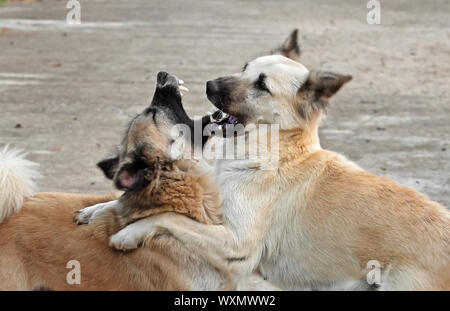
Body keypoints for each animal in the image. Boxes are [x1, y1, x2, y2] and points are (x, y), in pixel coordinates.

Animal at [96, 53, 450, 290]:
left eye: (262, 85)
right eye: (245, 68)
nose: (209, 84)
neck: (274, 151)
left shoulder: (236, 244)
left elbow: (169, 216)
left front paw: (128, 233)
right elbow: (115, 201)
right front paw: (94, 211)